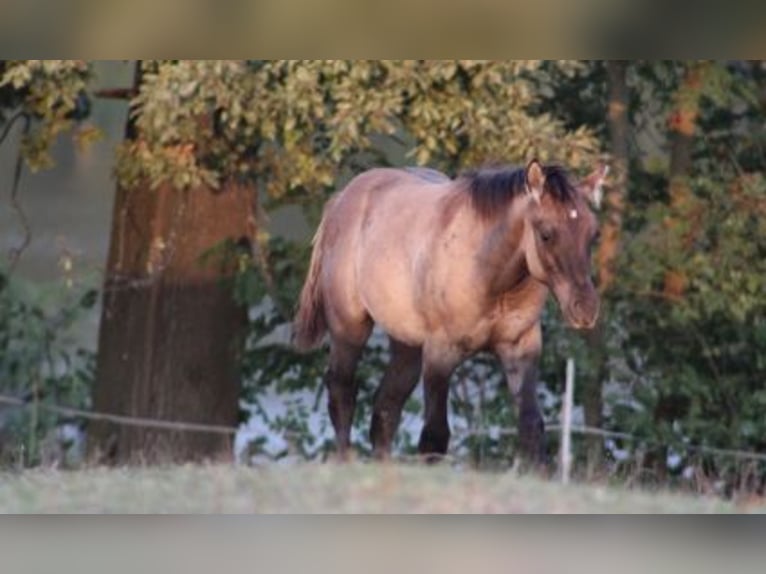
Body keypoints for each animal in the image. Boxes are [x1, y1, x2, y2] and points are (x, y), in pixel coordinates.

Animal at [292, 160, 608, 466]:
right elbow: (434, 436)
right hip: (349, 329)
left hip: (407, 347)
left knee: (385, 409)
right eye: (545, 234)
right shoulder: (440, 355)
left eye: (593, 233)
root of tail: (343, 198)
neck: (488, 273)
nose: (585, 308)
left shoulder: (521, 347)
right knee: (342, 393)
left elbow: (531, 426)